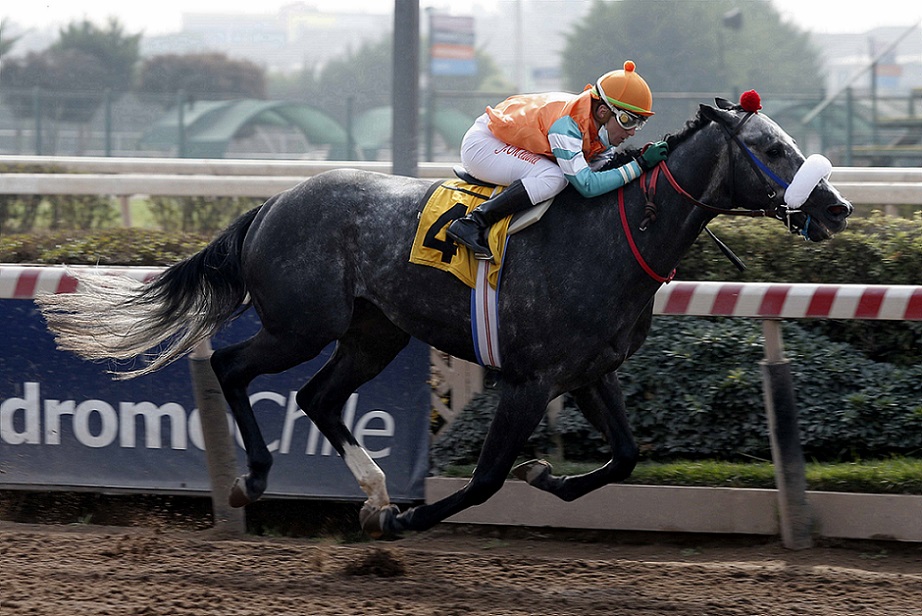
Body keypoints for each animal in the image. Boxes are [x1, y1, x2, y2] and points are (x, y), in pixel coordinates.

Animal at [37, 94, 852, 538]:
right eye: (771, 146)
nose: (837, 207)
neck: (613, 236)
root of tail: (272, 203)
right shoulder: (529, 380)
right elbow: (487, 479)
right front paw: (410, 517)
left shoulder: (590, 371)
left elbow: (624, 455)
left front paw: (544, 474)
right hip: (304, 323)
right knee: (236, 367)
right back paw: (258, 480)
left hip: (375, 331)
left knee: (319, 396)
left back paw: (369, 492)